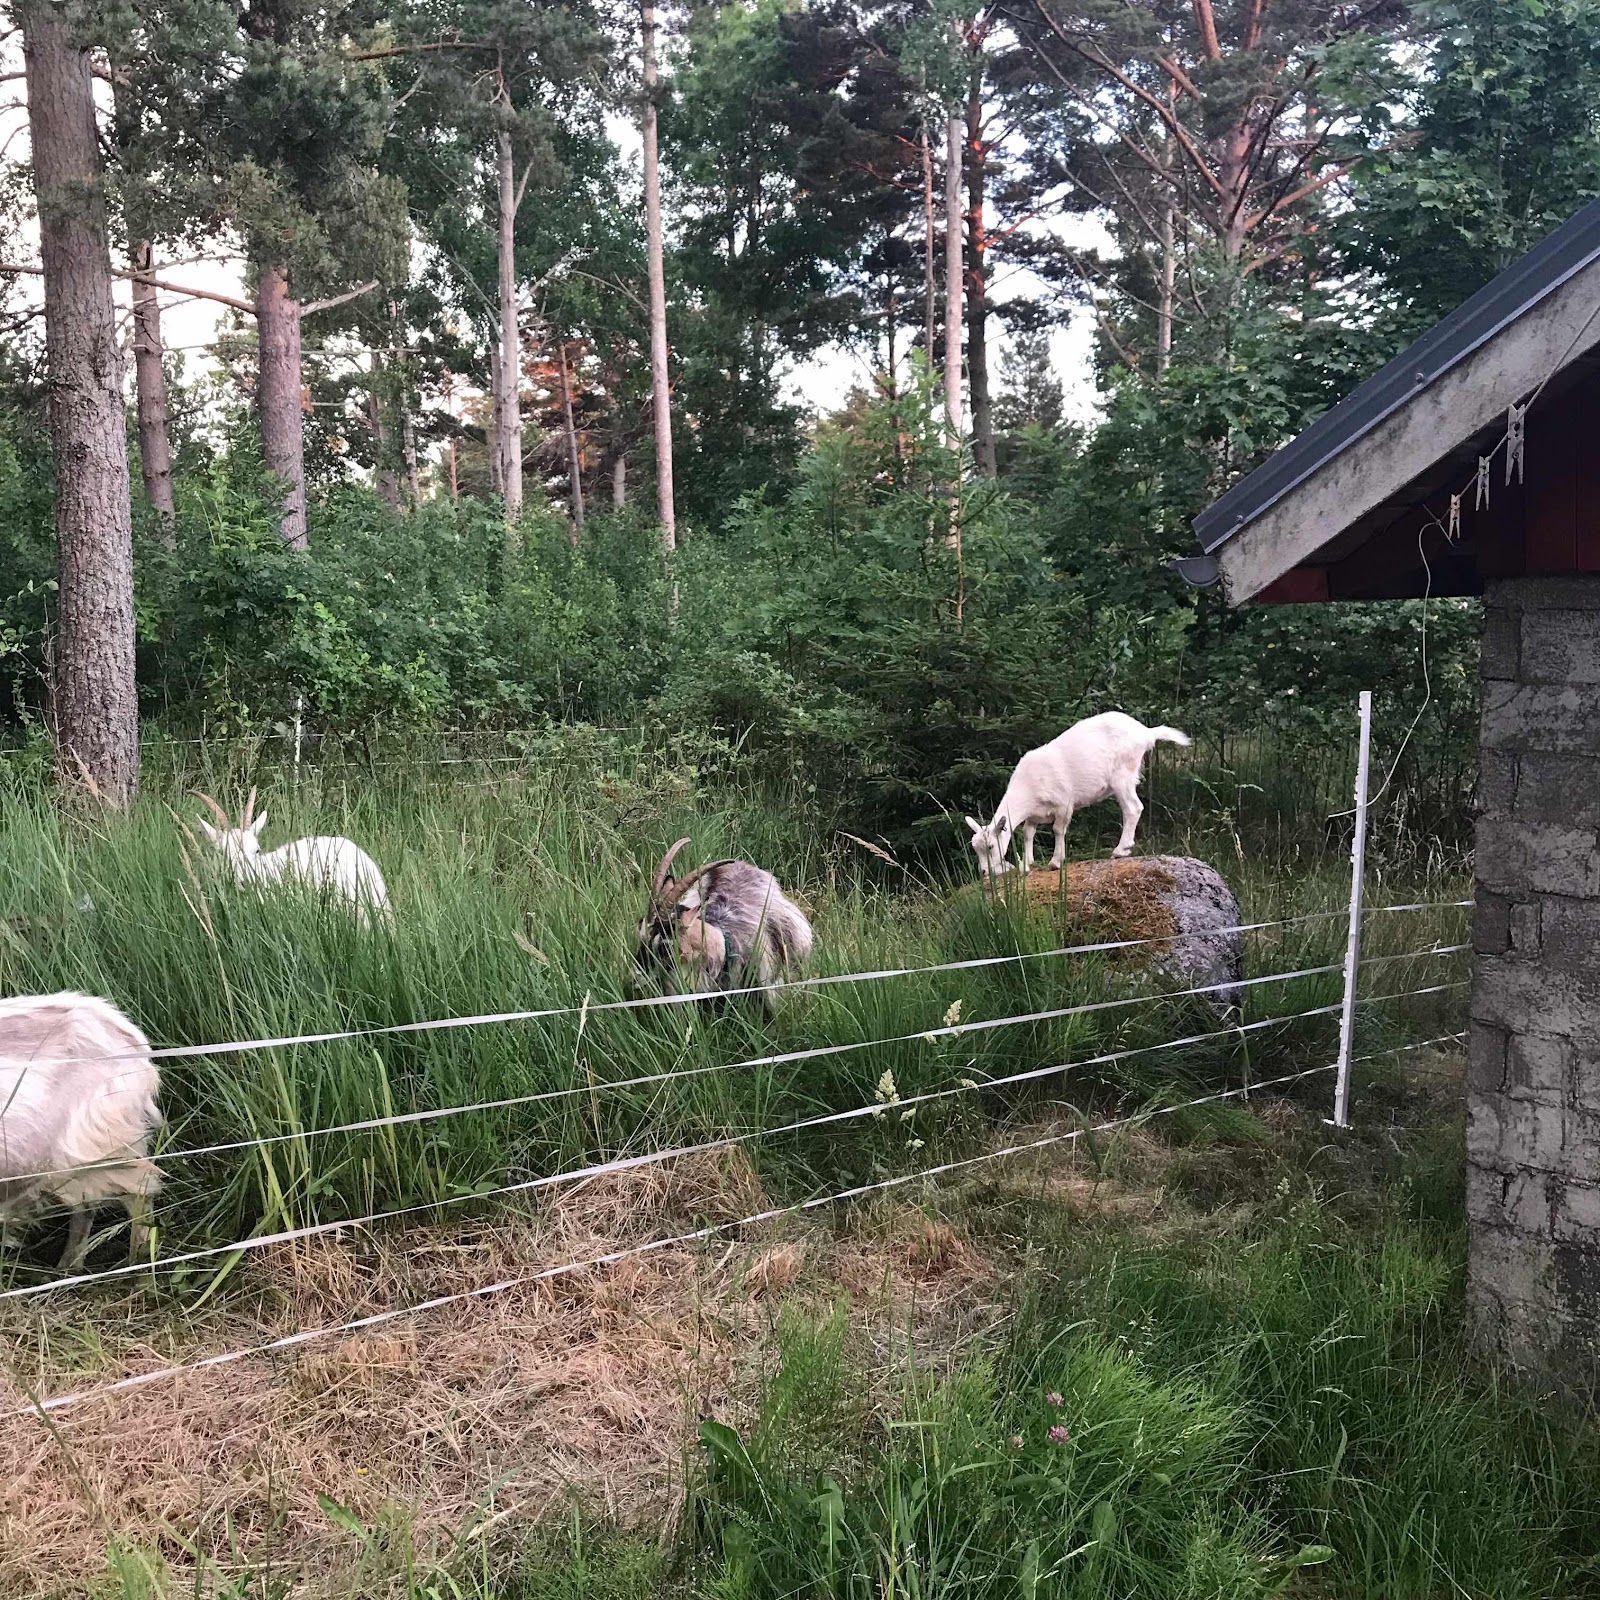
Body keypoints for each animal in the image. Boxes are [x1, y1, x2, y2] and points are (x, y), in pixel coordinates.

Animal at [965, 711, 1190, 876]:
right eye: (975, 848)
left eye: (991, 846)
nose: (984, 872)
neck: (1028, 786)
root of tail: (1145, 733)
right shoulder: (1034, 815)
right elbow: (1028, 834)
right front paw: (1026, 864)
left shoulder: (1063, 804)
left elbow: (1058, 830)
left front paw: (1055, 862)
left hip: (1123, 775)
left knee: (1133, 808)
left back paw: (1120, 850)